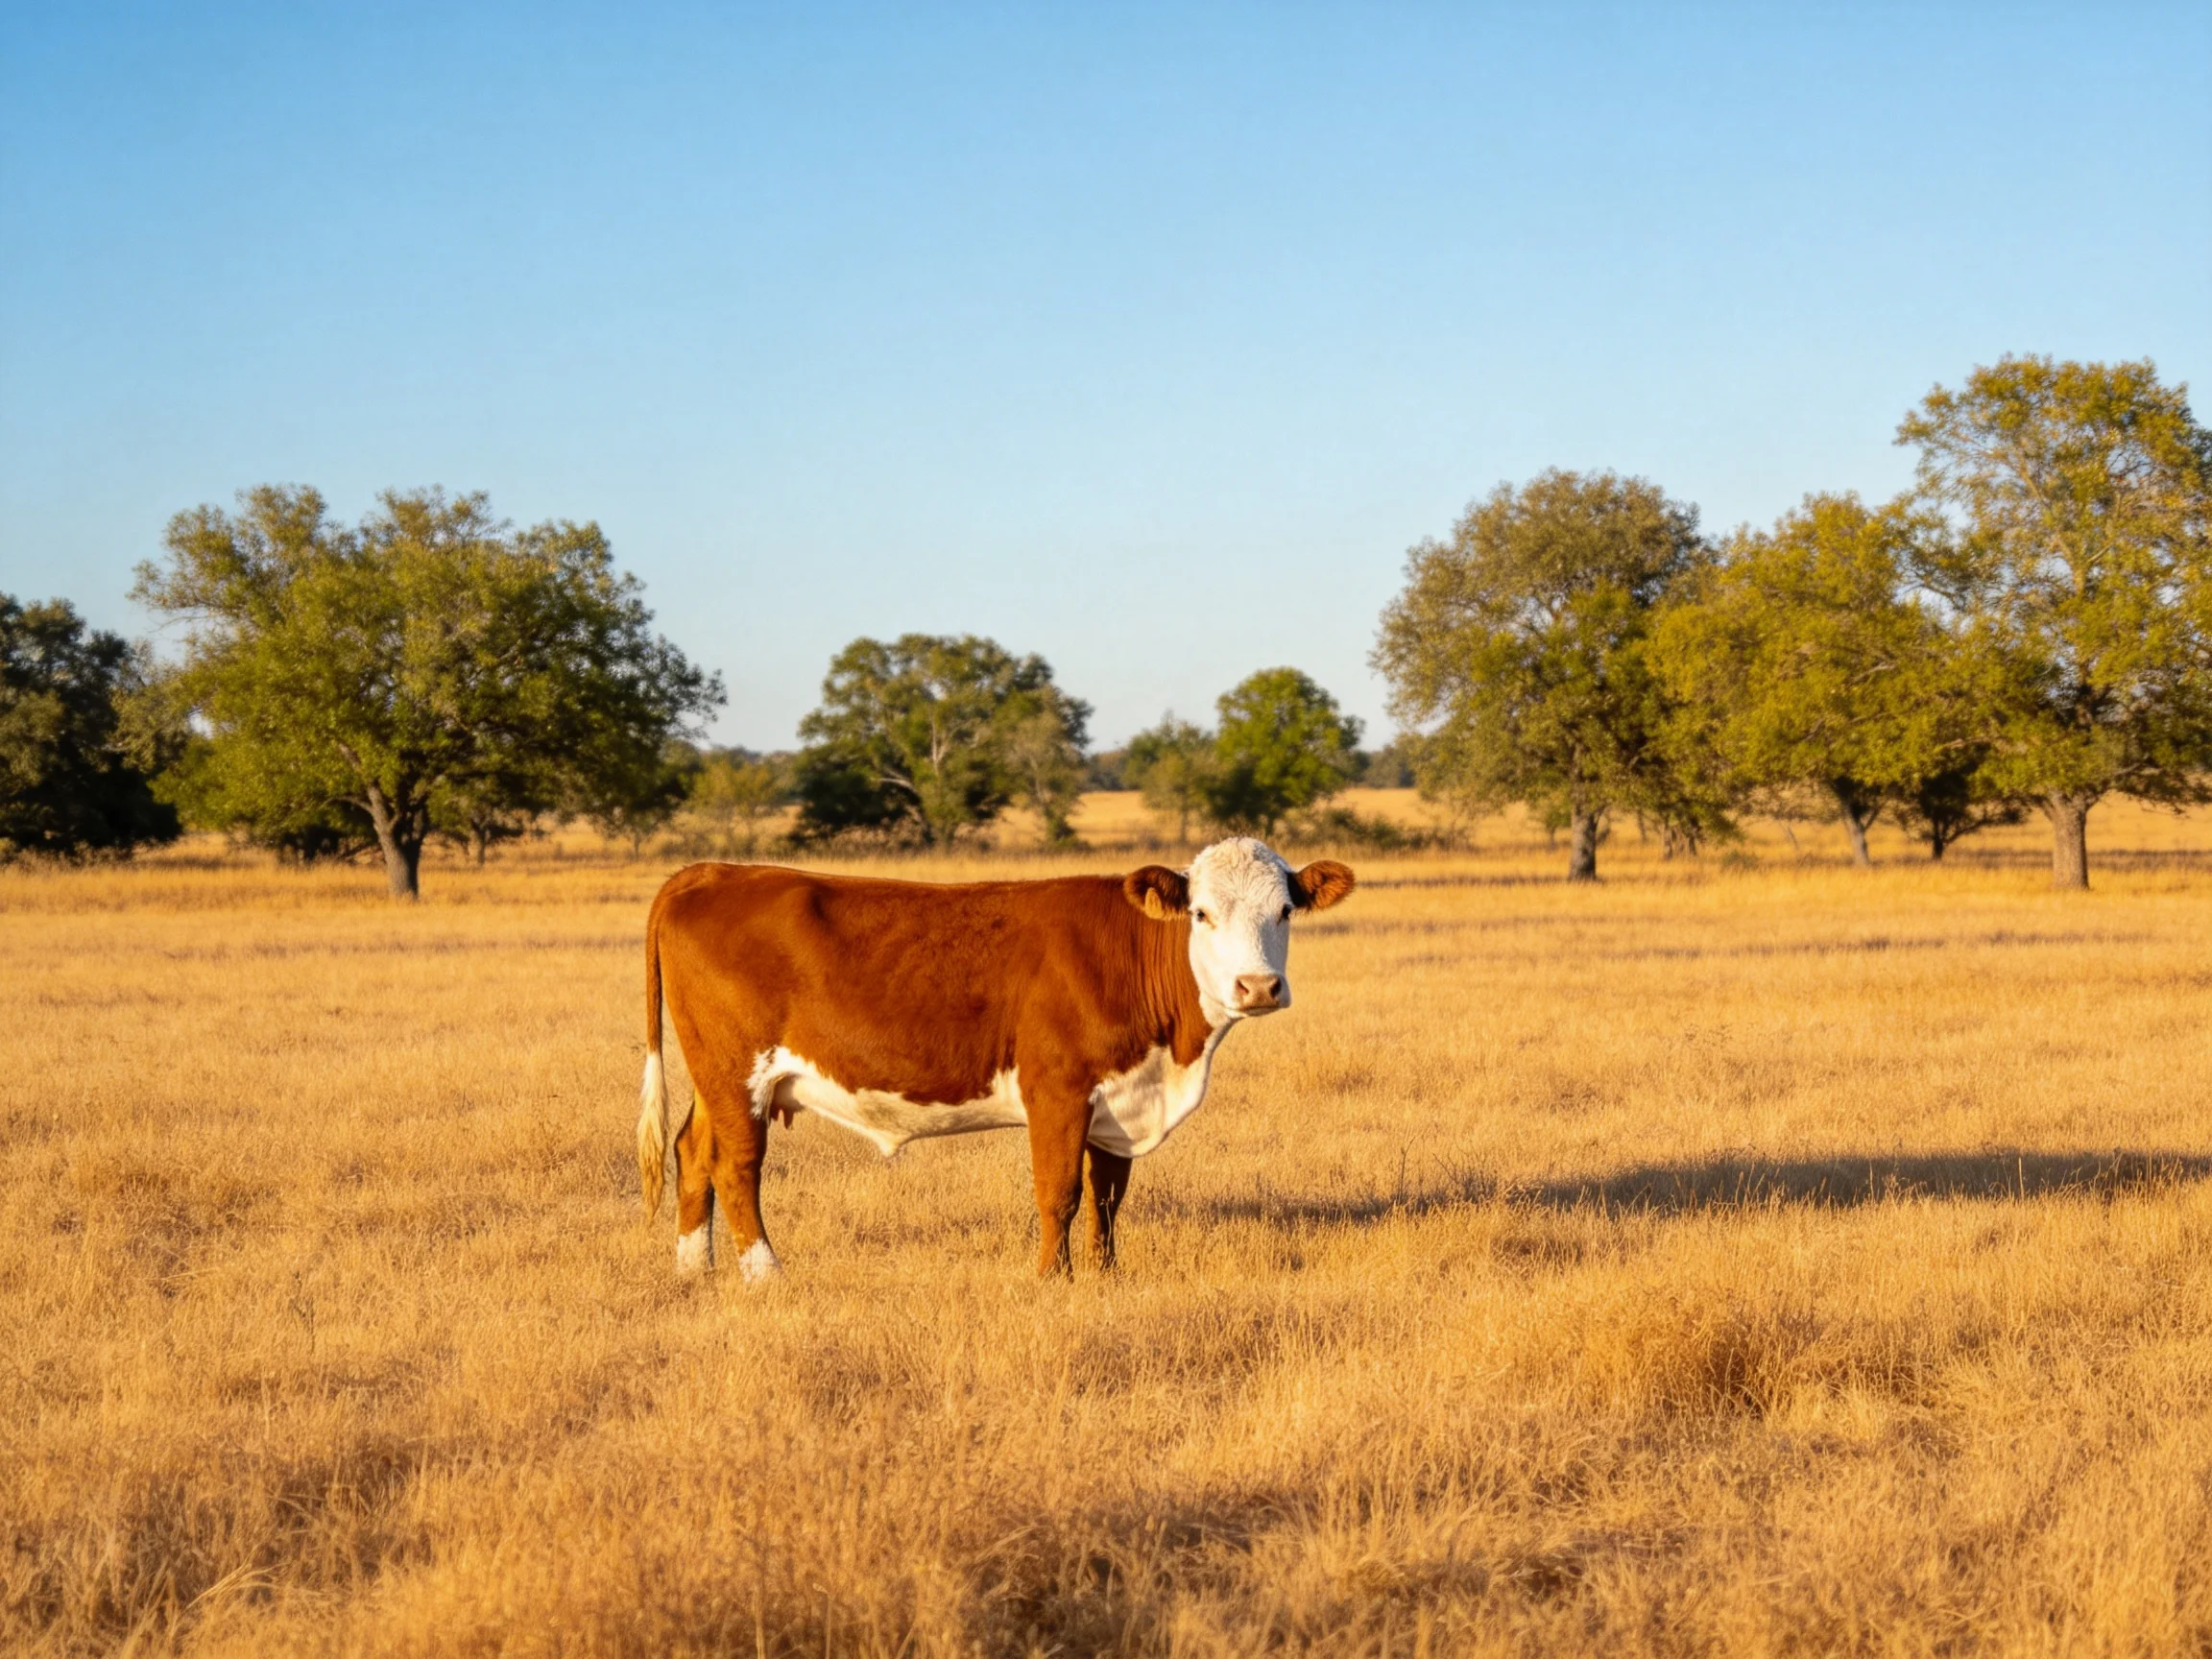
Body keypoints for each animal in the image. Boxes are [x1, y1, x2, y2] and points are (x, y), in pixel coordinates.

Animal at [634, 837, 1355, 1279]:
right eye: (1201, 914)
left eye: (1285, 909)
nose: (1258, 987)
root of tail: (713, 871)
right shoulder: (1057, 1089)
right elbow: (1058, 1192)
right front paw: (1052, 1278)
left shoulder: (1121, 1099)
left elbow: (1108, 1196)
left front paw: (1106, 1275)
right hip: (737, 1072)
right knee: (738, 1166)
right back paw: (766, 1274)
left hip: (716, 1077)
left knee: (694, 1150)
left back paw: (693, 1270)